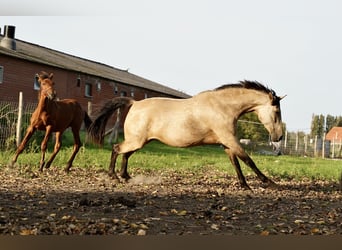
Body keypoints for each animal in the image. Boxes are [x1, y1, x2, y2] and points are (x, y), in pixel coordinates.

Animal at [87, 80, 284, 189]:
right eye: (277, 111)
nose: (279, 137)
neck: (222, 106)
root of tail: (134, 103)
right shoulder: (230, 140)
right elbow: (248, 160)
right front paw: (269, 182)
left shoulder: (227, 143)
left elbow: (236, 162)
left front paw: (244, 185)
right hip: (136, 141)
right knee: (116, 149)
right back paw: (113, 176)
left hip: (140, 141)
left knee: (125, 154)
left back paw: (126, 176)